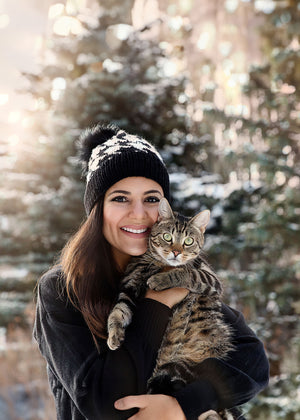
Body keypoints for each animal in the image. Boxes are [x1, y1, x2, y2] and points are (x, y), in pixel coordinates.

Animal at [106, 198, 236, 420]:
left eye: (188, 241)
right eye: (167, 237)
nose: (176, 252)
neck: (158, 264)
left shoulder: (211, 279)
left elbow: (186, 272)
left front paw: (161, 279)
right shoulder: (129, 287)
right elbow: (118, 311)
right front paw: (114, 335)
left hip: (182, 368)